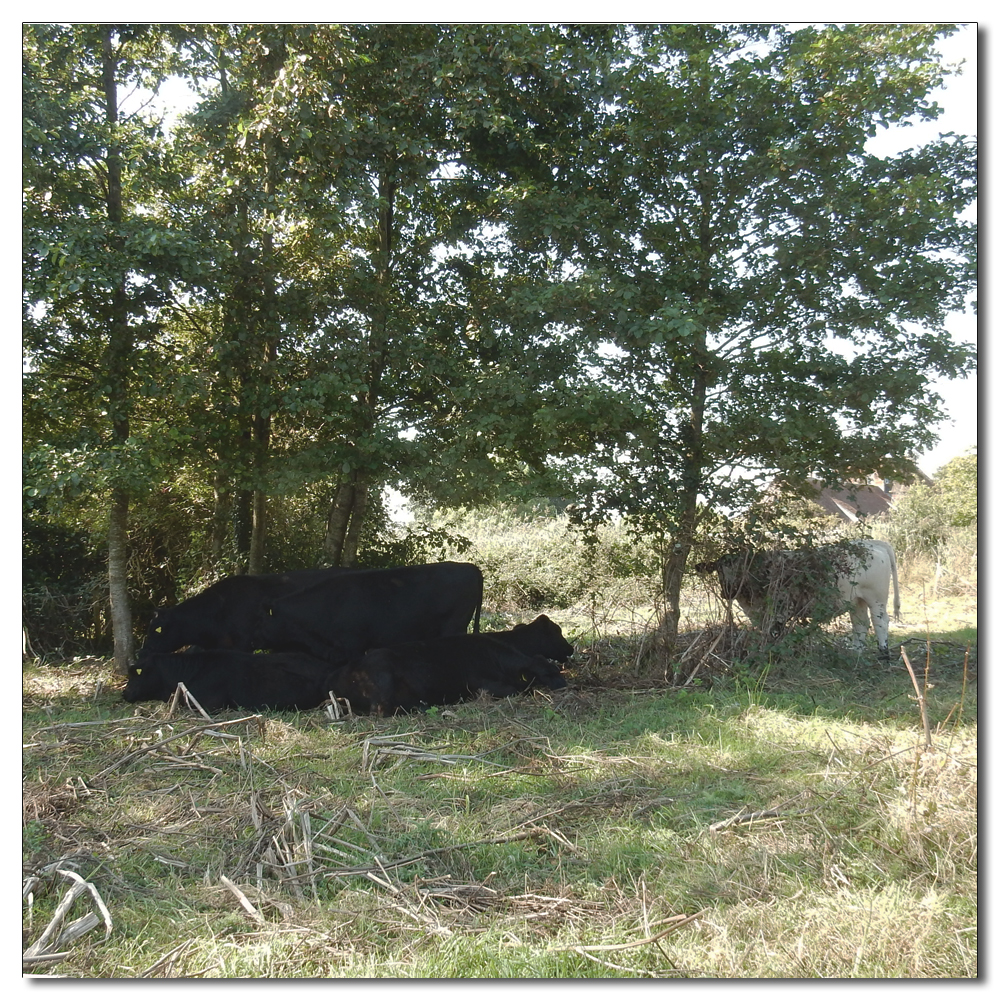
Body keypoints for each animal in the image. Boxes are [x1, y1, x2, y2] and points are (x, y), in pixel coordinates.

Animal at [330, 628, 572, 716]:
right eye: (549, 674)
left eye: (556, 671)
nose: (566, 687)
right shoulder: (485, 686)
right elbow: (517, 690)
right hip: (383, 679)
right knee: (382, 710)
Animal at [696, 544, 900, 660]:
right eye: (719, 570)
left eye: (741, 567)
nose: (727, 591)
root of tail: (876, 546)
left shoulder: (780, 609)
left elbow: (775, 632)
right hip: (856, 601)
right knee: (860, 624)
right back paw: (855, 652)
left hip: (875, 598)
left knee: (880, 622)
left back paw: (883, 653)